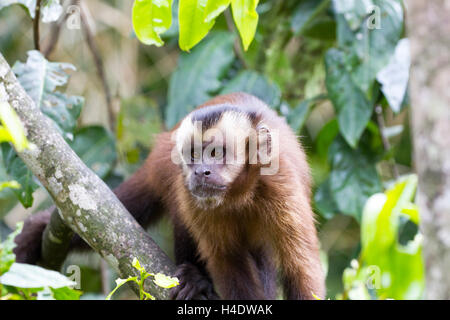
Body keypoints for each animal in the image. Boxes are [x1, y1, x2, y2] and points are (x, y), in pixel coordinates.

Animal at [14, 92, 324, 300]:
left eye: (216, 153)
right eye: (193, 155)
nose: (200, 172)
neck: (240, 194)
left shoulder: (281, 184)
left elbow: (300, 267)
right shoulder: (195, 197)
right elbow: (229, 263)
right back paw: (197, 281)